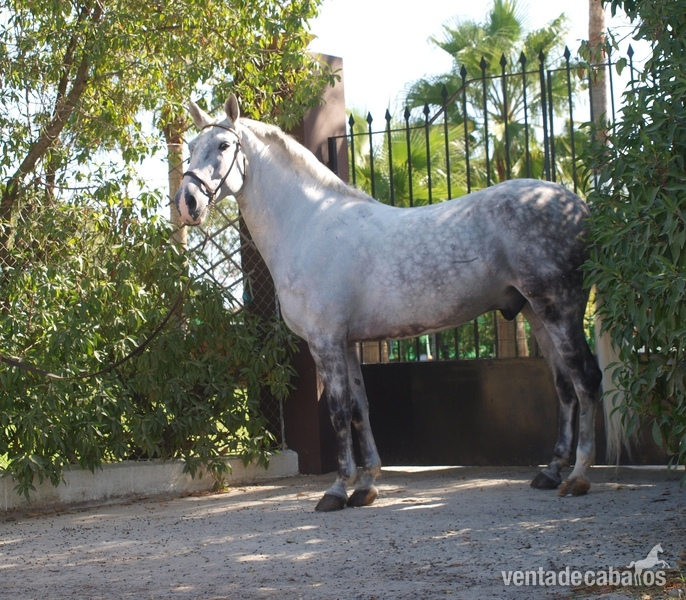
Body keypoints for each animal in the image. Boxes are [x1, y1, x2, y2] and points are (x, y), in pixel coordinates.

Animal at [174, 94, 606, 512]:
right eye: (191, 147)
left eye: (224, 145)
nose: (187, 202)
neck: (310, 224)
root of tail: (577, 205)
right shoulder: (347, 342)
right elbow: (360, 408)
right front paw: (366, 486)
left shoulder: (325, 342)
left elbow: (338, 411)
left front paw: (337, 490)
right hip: (537, 313)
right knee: (564, 386)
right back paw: (550, 471)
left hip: (560, 309)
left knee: (585, 380)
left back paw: (577, 477)